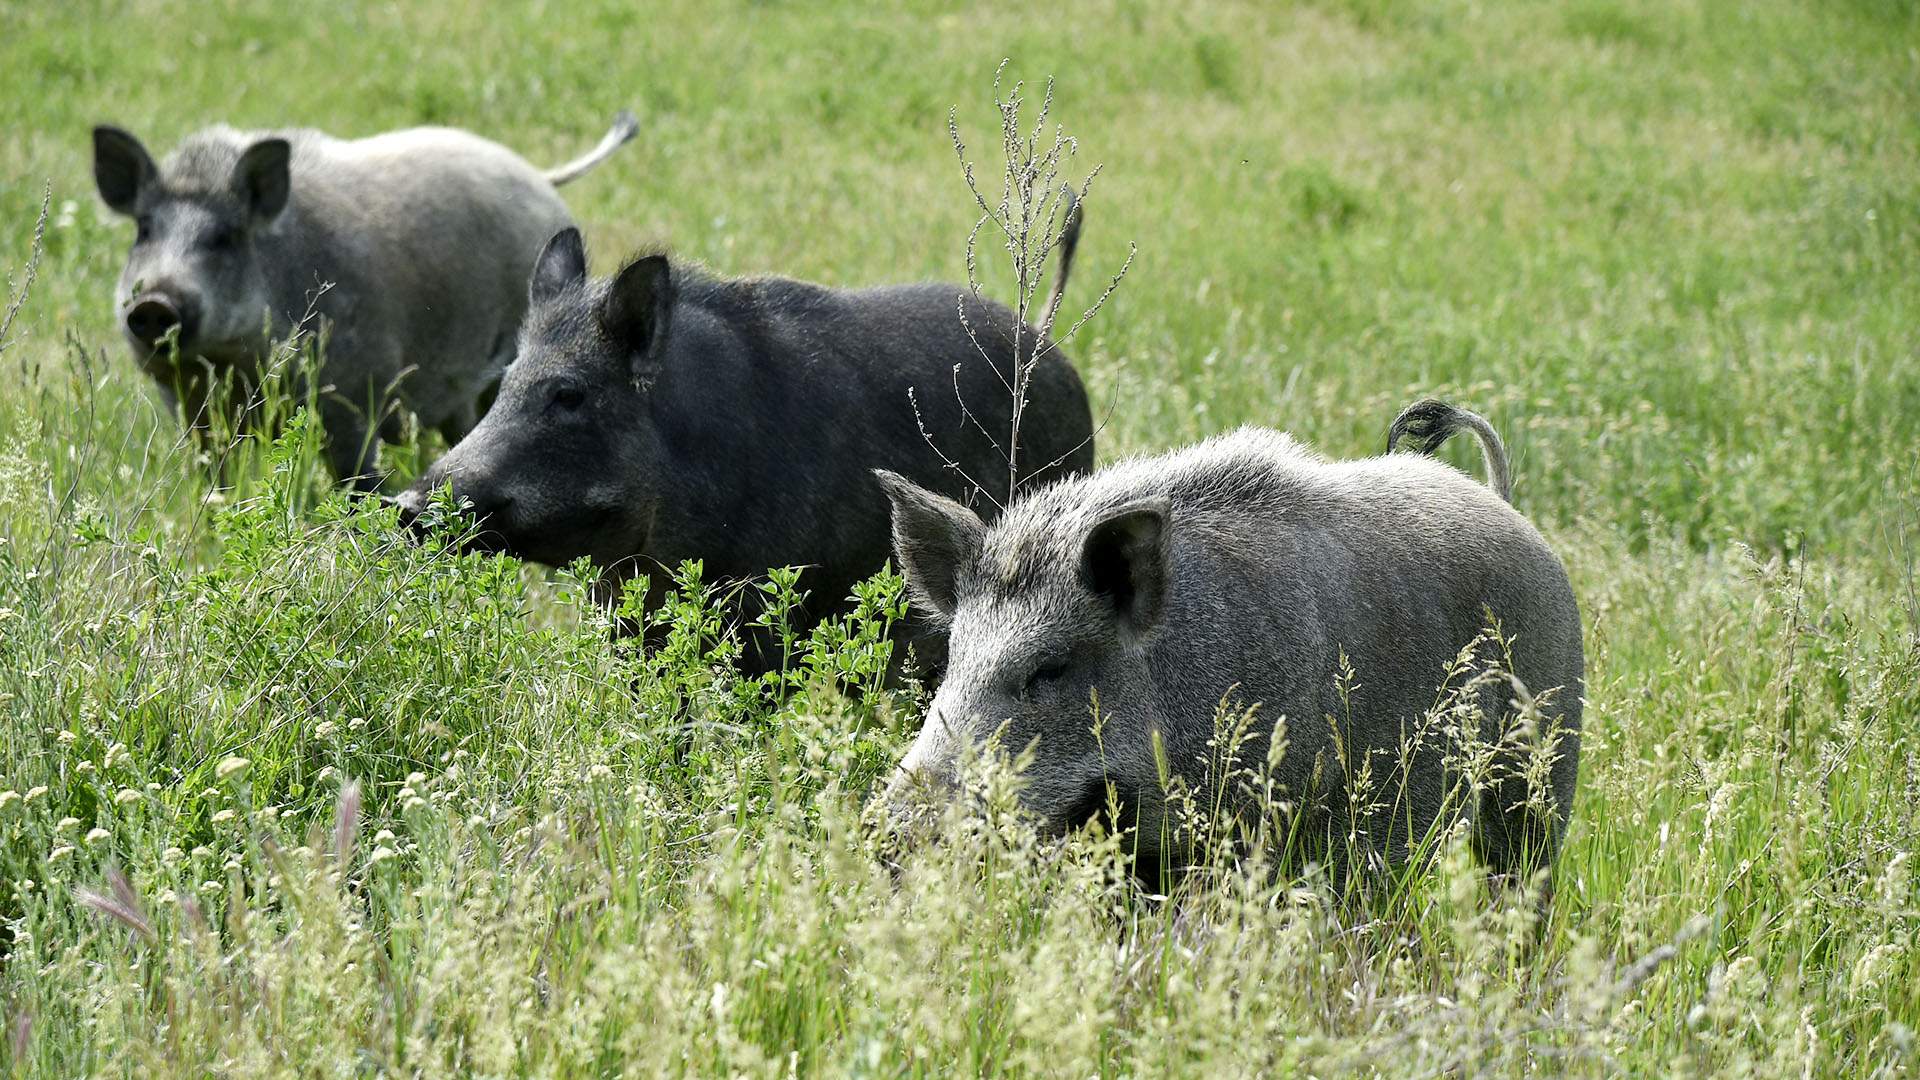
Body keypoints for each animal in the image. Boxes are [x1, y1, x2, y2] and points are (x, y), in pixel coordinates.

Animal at [93, 110, 637, 484]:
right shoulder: (192, 412)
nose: (153, 302)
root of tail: (541, 178)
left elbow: (359, 486)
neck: (236, 365)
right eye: (144, 230)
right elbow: (214, 484)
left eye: (224, 237)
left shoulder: (354, 395)